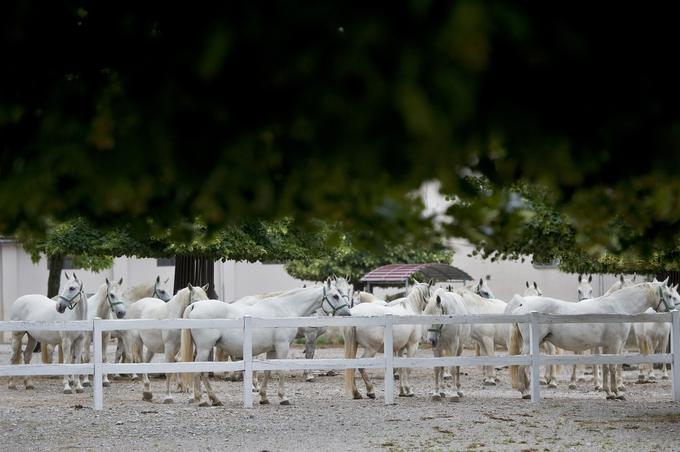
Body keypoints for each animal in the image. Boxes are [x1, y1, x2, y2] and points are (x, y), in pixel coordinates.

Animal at [181, 280, 350, 404]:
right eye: (335, 295)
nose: (348, 313)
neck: (285, 309)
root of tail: (194, 305)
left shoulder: (272, 349)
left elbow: (268, 371)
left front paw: (264, 397)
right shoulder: (283, 346)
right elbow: (281, 370)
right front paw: (283, 397)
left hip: (204, 349)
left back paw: (213, 399)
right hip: (205, 348)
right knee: (198, 371)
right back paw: (203, 399)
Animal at [508, 280, 676, 400]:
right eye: (669, 295)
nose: (673, 310)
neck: (618, 307)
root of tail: (522, 306)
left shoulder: (607, 346)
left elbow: (606, 368)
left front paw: (608, 393)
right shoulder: (615, 344)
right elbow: (613, 367)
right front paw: (617, 393)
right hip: (531, 343)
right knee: (522, 365)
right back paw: (525, 392)